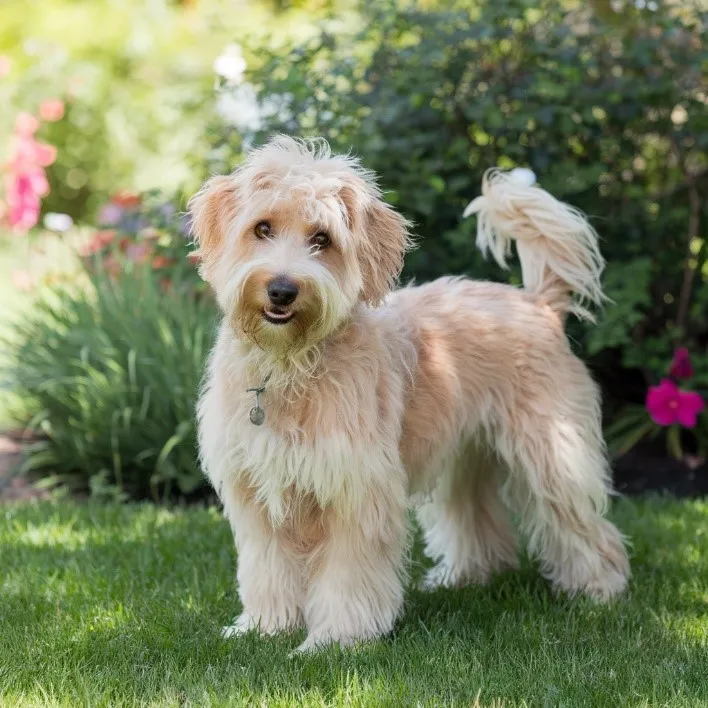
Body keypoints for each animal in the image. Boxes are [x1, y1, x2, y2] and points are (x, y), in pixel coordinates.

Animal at [189, 137, 632, 652]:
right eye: (262, 228)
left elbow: (347, 575)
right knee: (475, 518)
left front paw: (336, 640)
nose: (282, 290)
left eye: (322, 239)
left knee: (580, 523)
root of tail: (537, 302)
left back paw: (599, 590)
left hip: (553, 452)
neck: (289, 365)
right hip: (465, 456)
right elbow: (268, 569)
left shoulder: (356, 491)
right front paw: (264, 627)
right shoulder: (258, 494)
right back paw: (464, 577)